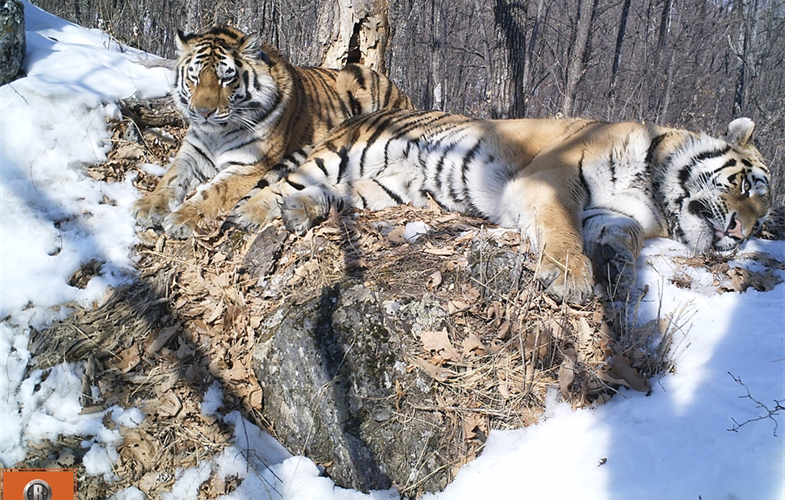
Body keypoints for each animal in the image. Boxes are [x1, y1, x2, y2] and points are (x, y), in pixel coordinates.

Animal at [133, 25, 412, 239]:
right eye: (195, 77)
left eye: (226, 78)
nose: (203, 112)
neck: (217, 132)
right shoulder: (192, 153)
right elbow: (170, 178)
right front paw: (147, 207)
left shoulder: (249, 166)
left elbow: (212, 192)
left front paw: (181, 218)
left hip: (356, 76)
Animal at [225, 109, 771, 304]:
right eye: (747, 186)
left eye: (763, 218)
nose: (742, 233)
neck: (654, 189)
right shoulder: (551, 179)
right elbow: (562, 229)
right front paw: (571, 278)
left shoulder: (615, 213)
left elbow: (622, 236)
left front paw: (616, 266)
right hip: (341, 155)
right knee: (276, 185)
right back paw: (250, 214)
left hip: (385, 189)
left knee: (331, 196)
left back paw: (301, 212)